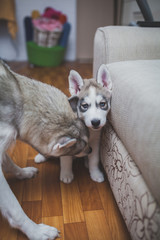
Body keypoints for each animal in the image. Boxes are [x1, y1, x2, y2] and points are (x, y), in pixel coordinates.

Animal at [0, 60, 90, 240]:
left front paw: (22, 173)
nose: (90, 150)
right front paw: (35, 230)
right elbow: (14, 208)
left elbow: (9, 163)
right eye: (80, 148)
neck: (20, 99)